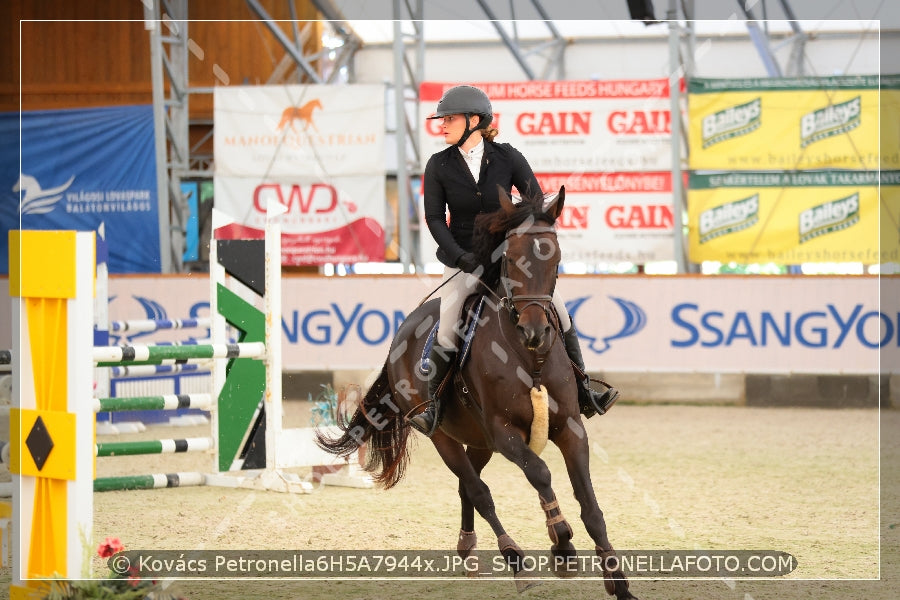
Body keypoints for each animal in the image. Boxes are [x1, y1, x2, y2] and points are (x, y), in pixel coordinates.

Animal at [320, 186, 636, 596]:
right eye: (511, 259)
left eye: (556, 258)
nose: (535, 331)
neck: (529, 357)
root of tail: (403, 331)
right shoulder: (505, 434)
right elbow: (541, 473)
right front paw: (563, 546)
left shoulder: (570, 427)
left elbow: (589, 502)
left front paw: (619, 581)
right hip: (444, 436)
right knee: (478, 490)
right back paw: (516, 562)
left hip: (478, 440)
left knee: (467, 487)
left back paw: (468, 548)